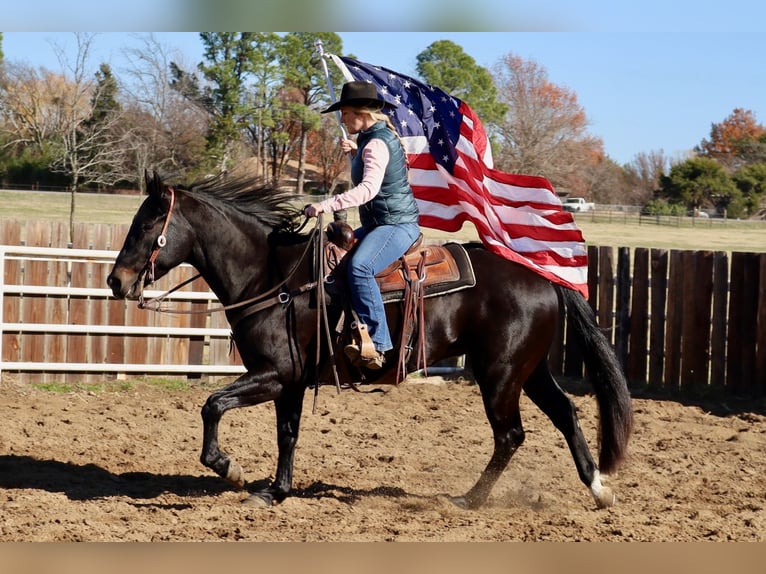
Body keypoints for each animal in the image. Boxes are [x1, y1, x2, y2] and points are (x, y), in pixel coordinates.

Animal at [108, 172, 636, 512]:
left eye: (145, 225)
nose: (116, 281)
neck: (274, 277)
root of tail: (542, 276)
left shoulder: (274, 375)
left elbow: (213, 405)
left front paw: (229, 469)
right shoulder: (291, 383)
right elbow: (287, 434)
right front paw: (275, 491)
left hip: (500, 374)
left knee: (511, 435)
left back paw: (469, 500)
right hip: (527, 369)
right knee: (565, 413)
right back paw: (599, 490)